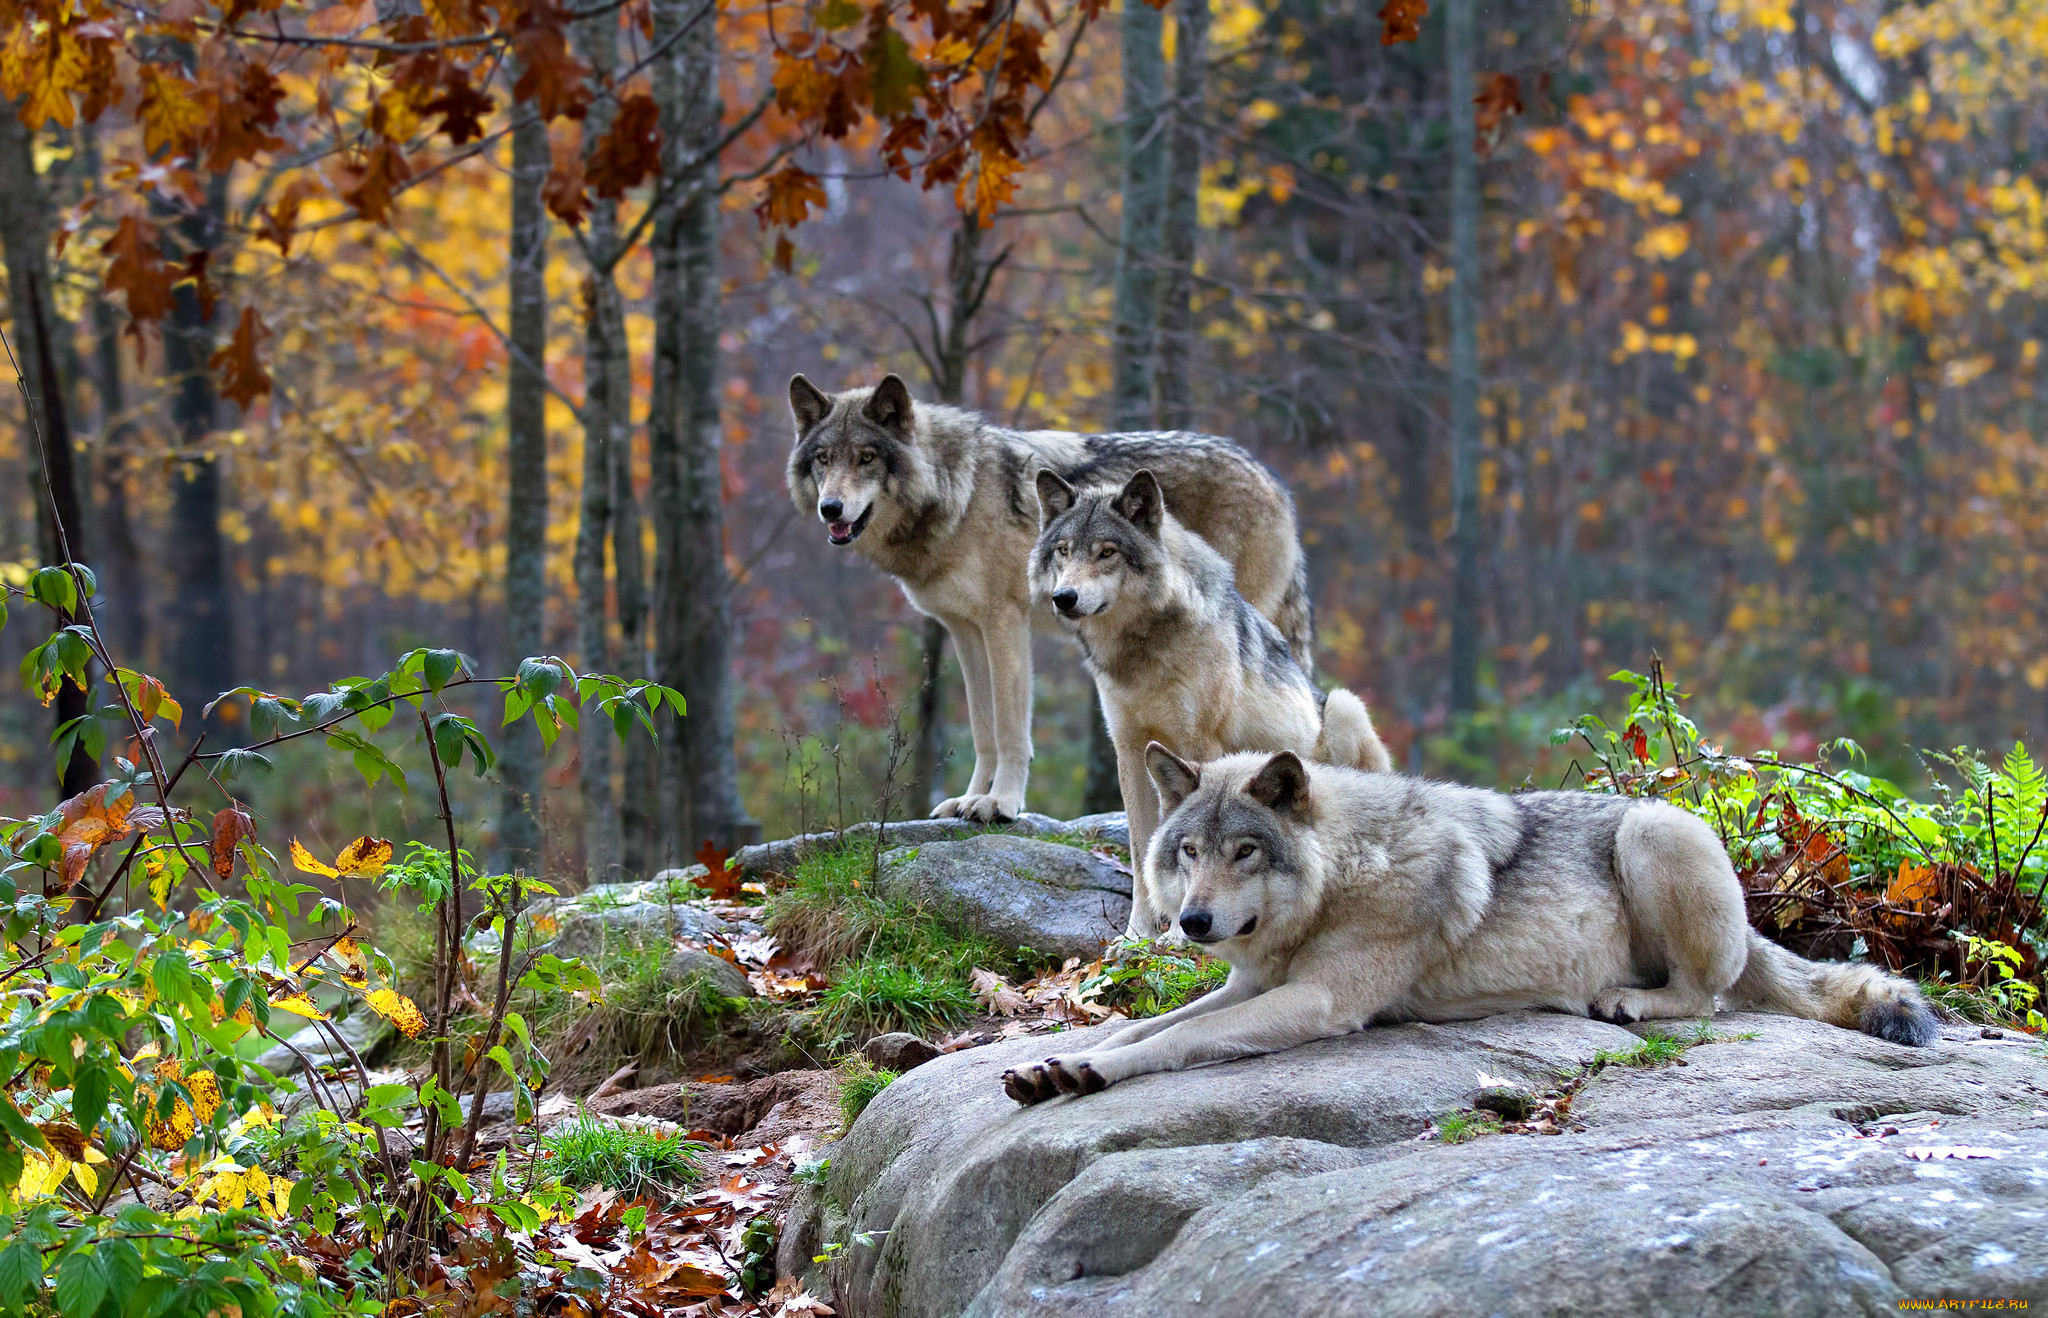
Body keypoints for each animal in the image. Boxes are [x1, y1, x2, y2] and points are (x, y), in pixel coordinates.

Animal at [782, 372, 1310, 822]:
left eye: (866, 458)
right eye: (824, 459)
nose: (831, 508)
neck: (958, 493)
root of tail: (1273, 479)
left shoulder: (1004, 622)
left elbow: (1011, 728)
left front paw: (1001, 803)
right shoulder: (964, 630)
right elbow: (983, 726)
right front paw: (969, 799)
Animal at [1003, 753, 1933, 1105]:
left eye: (1245, 851)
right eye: (1189, 851)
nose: (1193, 921)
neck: (1350, 869)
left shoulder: (1315, 1002)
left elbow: (1171, 1041)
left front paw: (1091, 1071)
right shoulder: (1253, 984)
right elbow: (1145, 1025)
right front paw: (1056, 1062)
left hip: (1650, 832)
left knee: (1709, 998)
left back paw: (1626, 1002)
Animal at [1032, 466, 1400, 937]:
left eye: (1106, 552)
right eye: (1063, 551)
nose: (1064, 598)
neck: (1141, 653)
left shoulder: (1200, 745)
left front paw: (1175, 936)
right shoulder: (1128, 751)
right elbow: (1144, 851)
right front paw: (1138, 936)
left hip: (1343, 706)